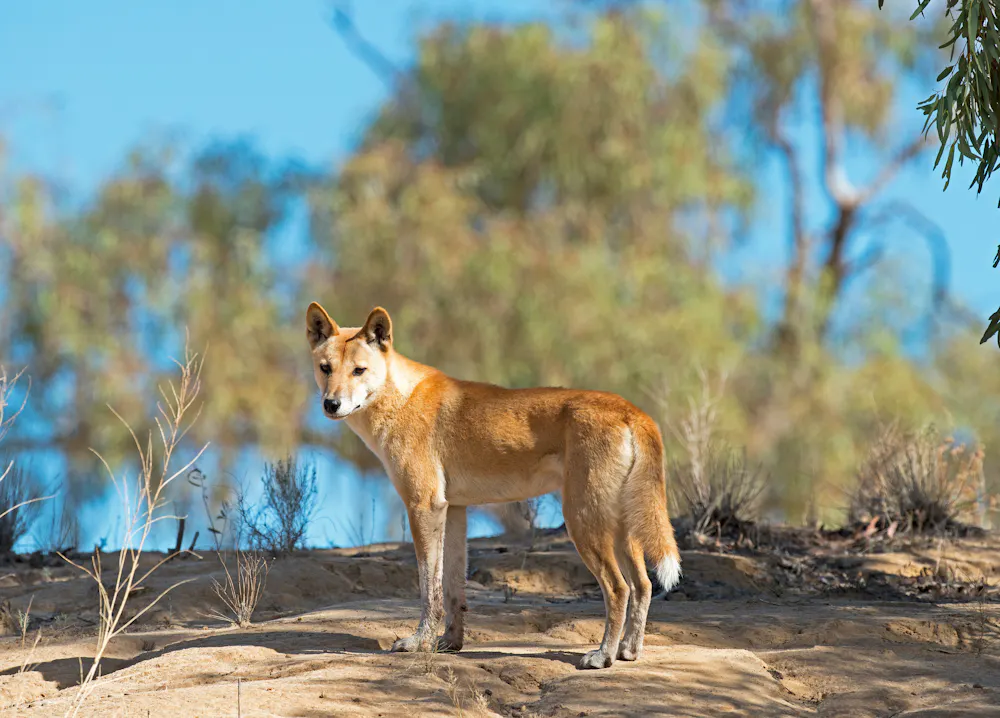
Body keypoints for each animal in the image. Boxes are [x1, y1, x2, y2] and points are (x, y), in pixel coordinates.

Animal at [305, 303, 681, 669]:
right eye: (326, 368)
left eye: (359, 370)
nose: (331, 404)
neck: (401, 397)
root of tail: (632, 410)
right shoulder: (453, 509)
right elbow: (452, 589)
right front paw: (449, 643)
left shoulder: (424, 506)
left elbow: (429, 588)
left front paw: (419, 642)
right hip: (619, 523)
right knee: (643, 584)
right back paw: (628, 651)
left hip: (583, 519)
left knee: (619, 588)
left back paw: (603, 655)